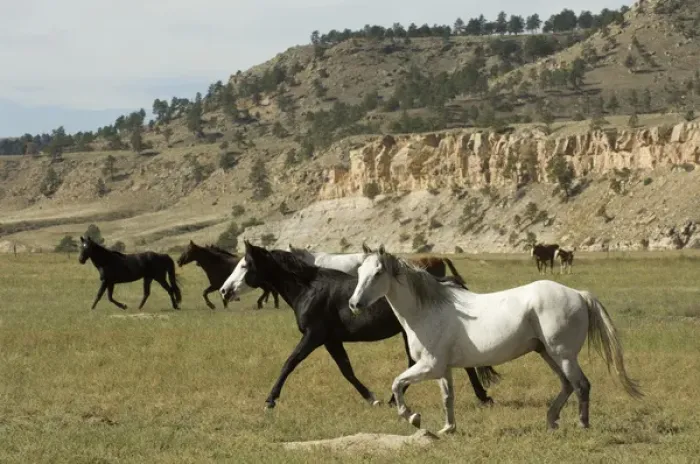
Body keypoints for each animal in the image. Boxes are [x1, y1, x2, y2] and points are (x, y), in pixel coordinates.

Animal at [219, 240, 500, 410]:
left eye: (244, 265)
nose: (224, 290)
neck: (309, 288)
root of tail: (446, 282)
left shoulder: (313, 336)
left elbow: (290, 363)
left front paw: (270, 400)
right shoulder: (331, 340)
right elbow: (347, 370)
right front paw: (371, 398)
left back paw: (481, 397)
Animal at [348, 246, 642, 434]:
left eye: (377, 274)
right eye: (359, 273)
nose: (354, 304)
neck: (428, 311)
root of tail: (579, 294)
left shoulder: (429, 366)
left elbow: (397, 384)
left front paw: (413, 418)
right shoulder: (442, 369)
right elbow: (448, 397)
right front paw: (448, 429)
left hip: (563, 355)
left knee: (581, 385)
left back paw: (581, 424)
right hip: (547, 353)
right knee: (568, 385)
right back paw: (551, 421)